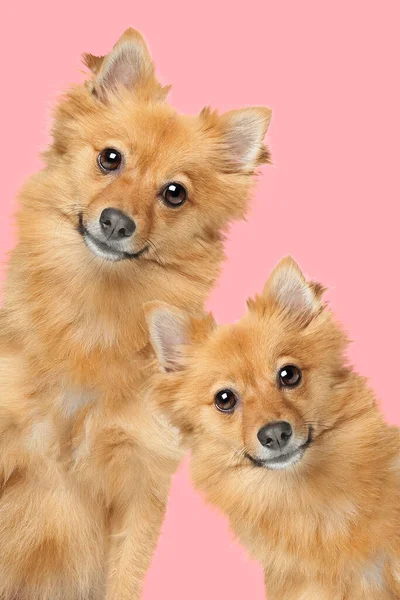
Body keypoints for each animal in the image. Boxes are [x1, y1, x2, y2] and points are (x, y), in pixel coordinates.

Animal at [0, 27, 272, 600]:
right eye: (110, 159)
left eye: (174, 193)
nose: (117, 221)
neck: (95, 313)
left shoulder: (140, 485)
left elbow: (124, 577)